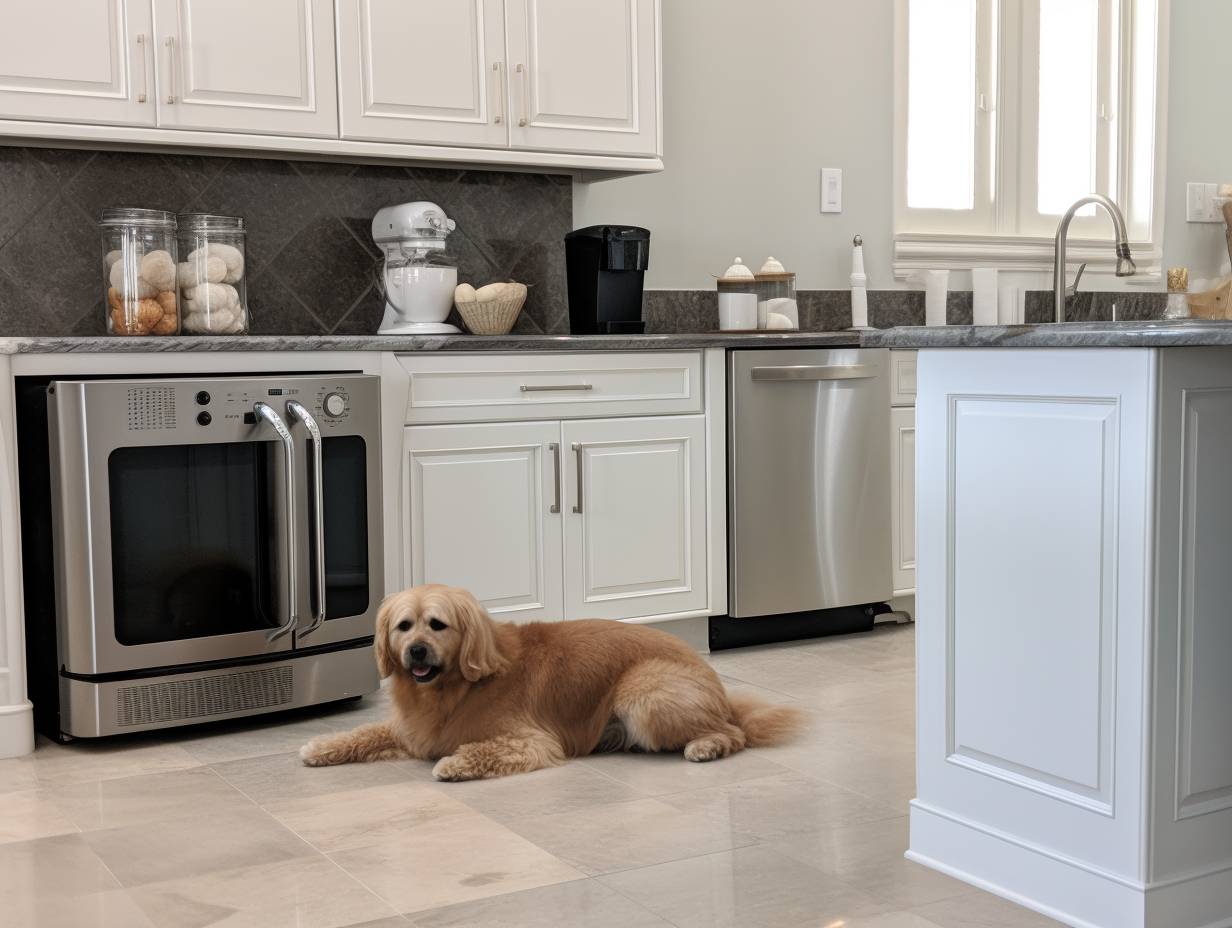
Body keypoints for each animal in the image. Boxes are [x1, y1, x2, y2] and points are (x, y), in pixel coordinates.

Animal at [295, 581, 798, 778]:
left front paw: (454, 765)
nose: (416, 651)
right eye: (404, 626)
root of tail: (718, 687)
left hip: (642, 694)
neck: (457, 686)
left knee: (733, 732)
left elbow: (478, 751)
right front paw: (321, 747)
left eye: (436, 625)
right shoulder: (411, 731)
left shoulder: (530, 741)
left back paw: (705, 746)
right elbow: (364, 732)